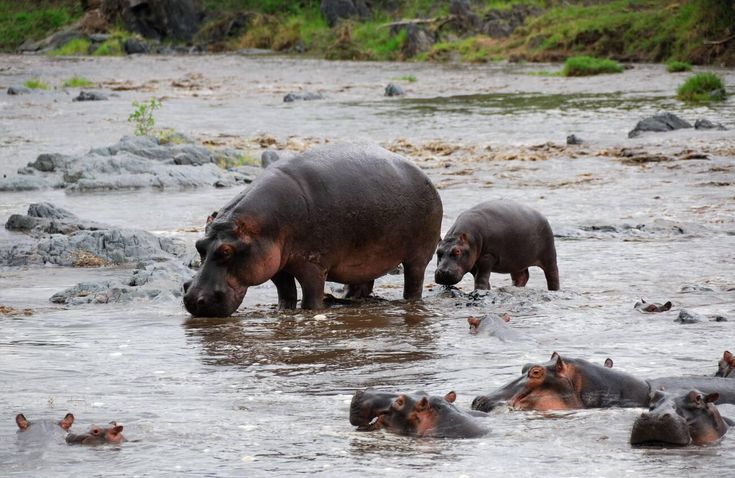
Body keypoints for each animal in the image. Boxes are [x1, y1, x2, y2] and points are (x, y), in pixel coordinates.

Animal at [184, 144, 443, 316]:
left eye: (226, 251)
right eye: (199, 246)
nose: (194, 300)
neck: (266, 225)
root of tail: (424, 175)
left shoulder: (313, 265)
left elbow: (310, 294)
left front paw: (310, 310)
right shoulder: (276, 266)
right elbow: (286, 292)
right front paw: (283, 311)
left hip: (418, 256)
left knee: (414, 282)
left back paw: (409, 301)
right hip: (367, 257)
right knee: (363, 280)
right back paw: (351, 298)